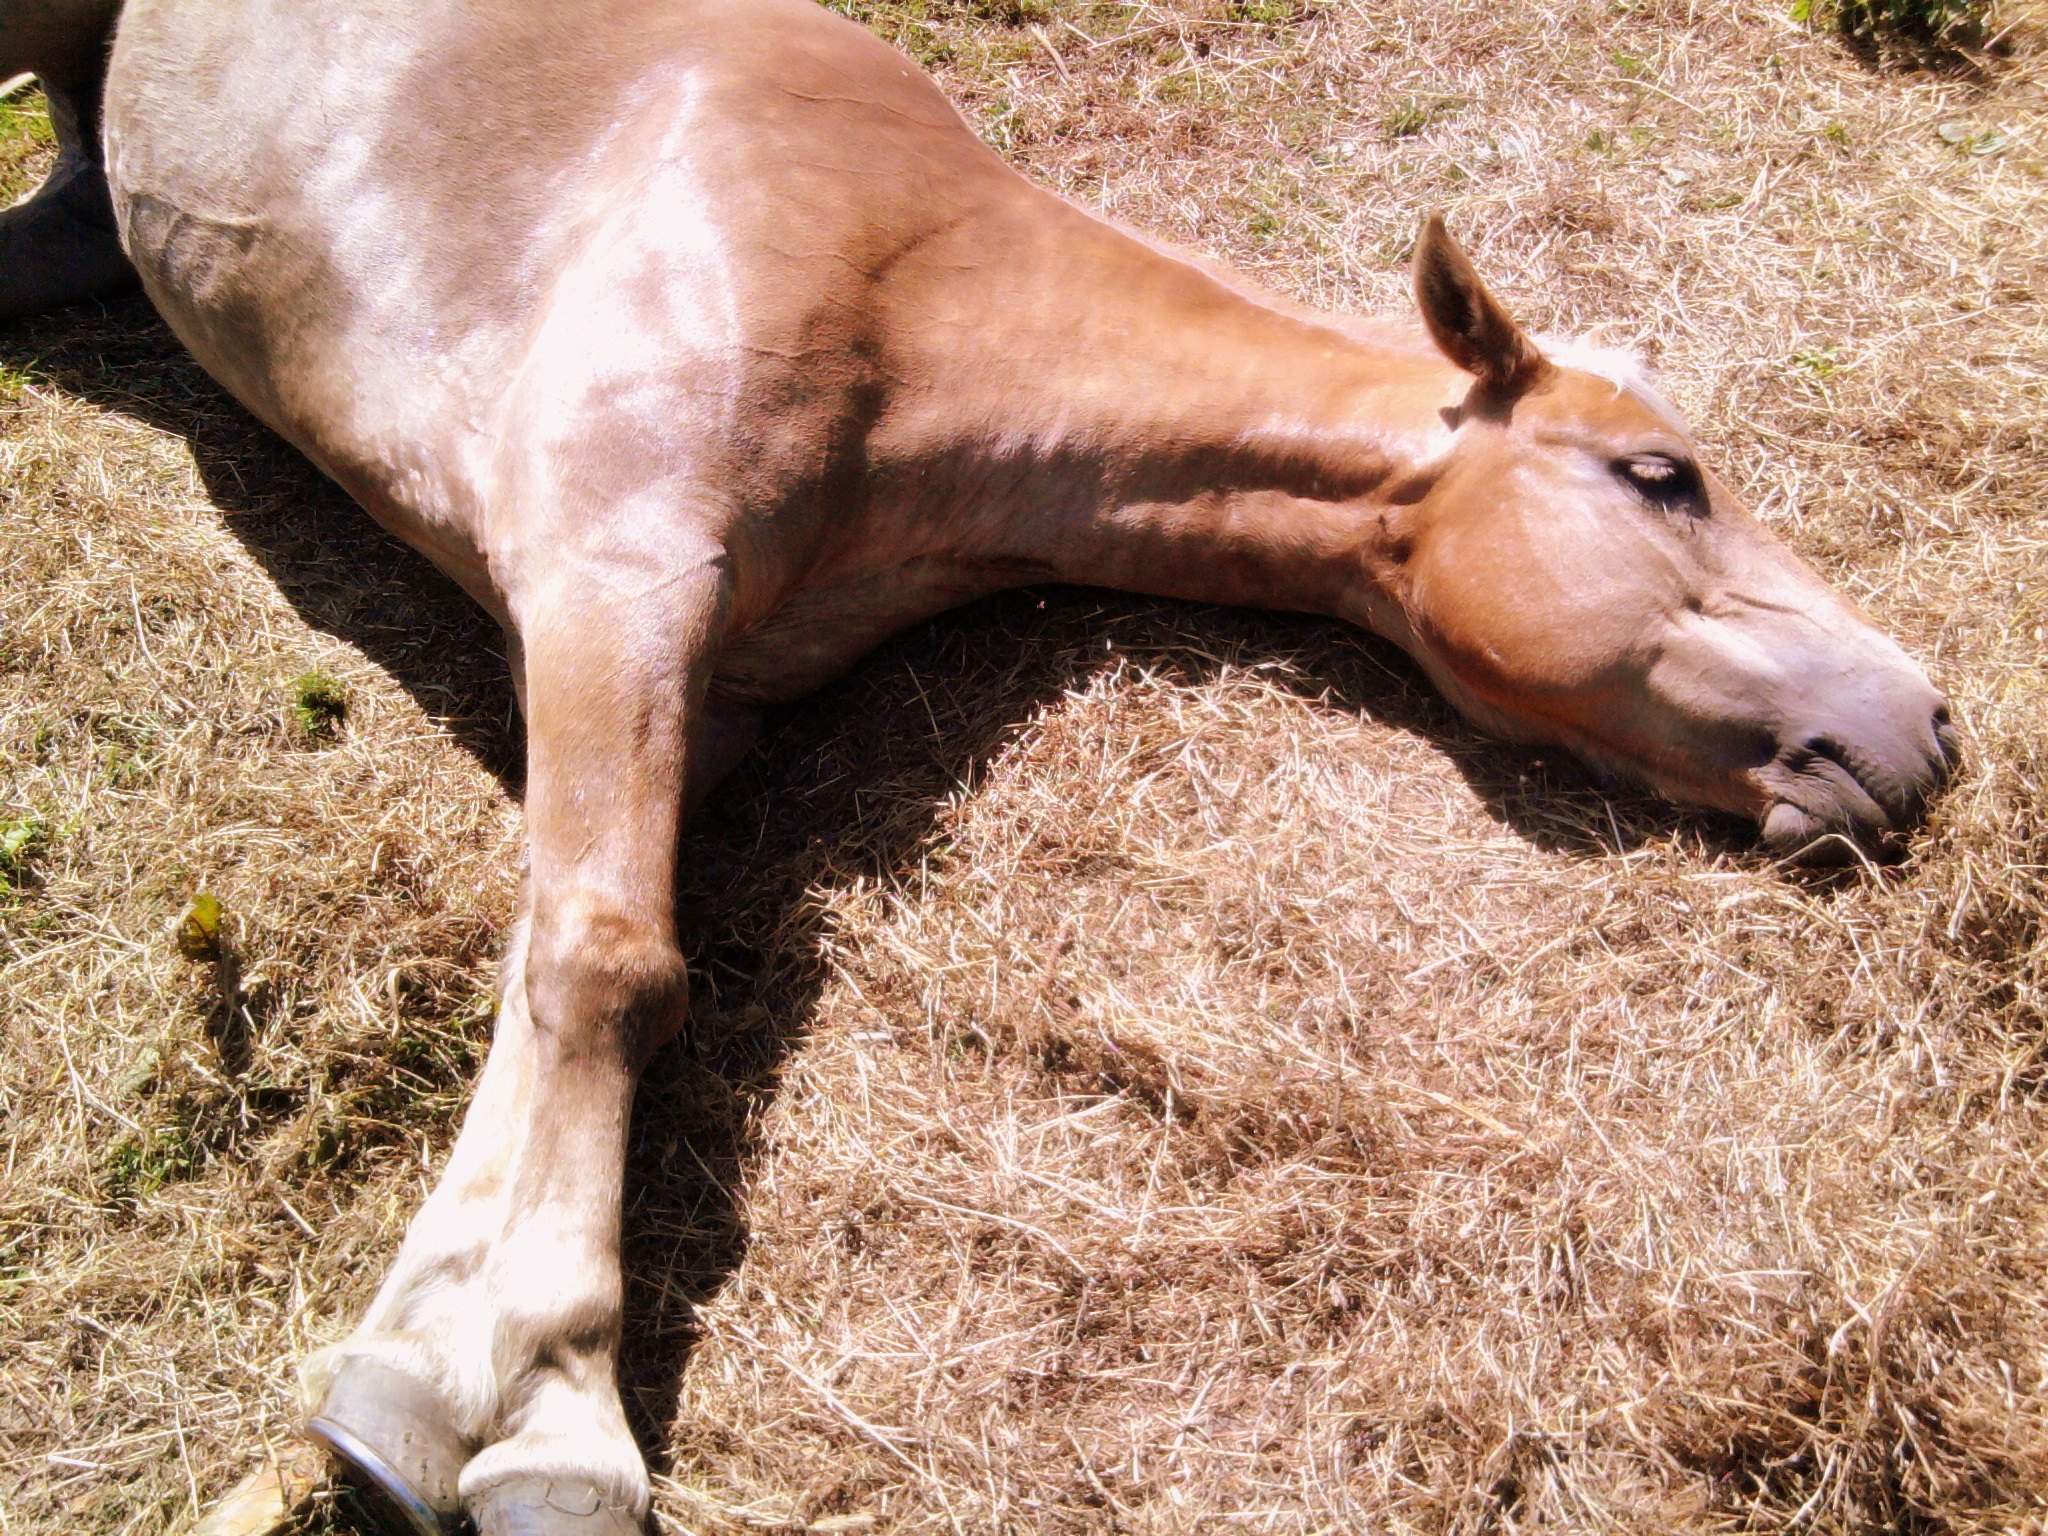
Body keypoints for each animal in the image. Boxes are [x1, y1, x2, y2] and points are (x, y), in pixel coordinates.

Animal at [0, 0, 1955, 1531]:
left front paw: (418, 1365)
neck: (914, 287)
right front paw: (537, 1402)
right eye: (1658, 477)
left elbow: (568, 970)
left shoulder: (703, 688)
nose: (1922, 726)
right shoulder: (605, 576)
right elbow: (608, 962)